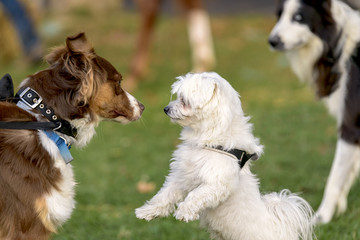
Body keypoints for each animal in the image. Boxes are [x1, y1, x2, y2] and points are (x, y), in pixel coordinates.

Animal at [136, 72, 314, 239]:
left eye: (184, 100)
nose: (166, 109)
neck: (209, 139)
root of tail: (283, 230)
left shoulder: (217, 183)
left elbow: (196, 194)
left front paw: (184, 211)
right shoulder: (182, 175)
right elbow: (165, 194)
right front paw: (147, 211)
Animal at [268, 0, 360, 224]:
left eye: (298, 18)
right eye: (279, 15)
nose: (272, 41)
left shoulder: (350, 126)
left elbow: (334, 178)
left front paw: (321, 217)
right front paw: (340, 210)